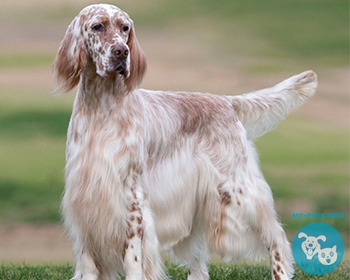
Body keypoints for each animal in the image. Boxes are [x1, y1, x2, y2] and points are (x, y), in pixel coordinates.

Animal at [52, 2, 318, 280]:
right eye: (97, 26)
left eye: (125, 28)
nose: (122, 51)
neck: (101, 108)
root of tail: (226, 102)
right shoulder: (83, 198)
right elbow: (88, 261)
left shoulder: (132, 196)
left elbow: (133, 257)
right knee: (199, 264)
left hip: (239, 189)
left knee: (276, 237)